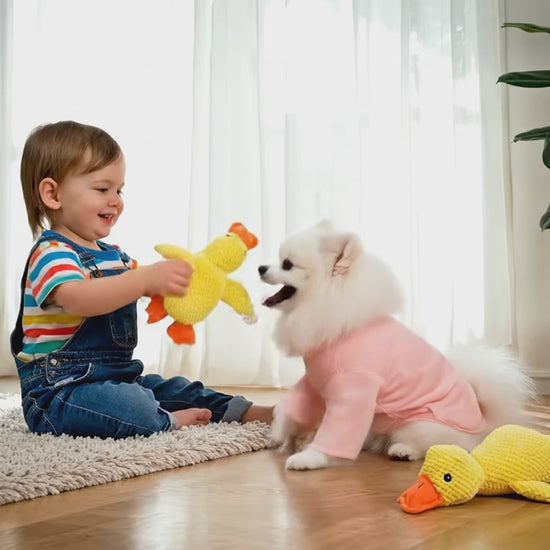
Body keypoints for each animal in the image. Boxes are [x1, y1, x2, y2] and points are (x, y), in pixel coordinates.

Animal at [258, 220, 536, 470]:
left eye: (287, 264)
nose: (260, 267)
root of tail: (483, 420)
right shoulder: (318, 381)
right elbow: (294, 403)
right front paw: (284, 430)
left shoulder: (355, 386)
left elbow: (337, 431)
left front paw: (310, 458)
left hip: (418, 423)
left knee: (443, 446)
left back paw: (403, 451)